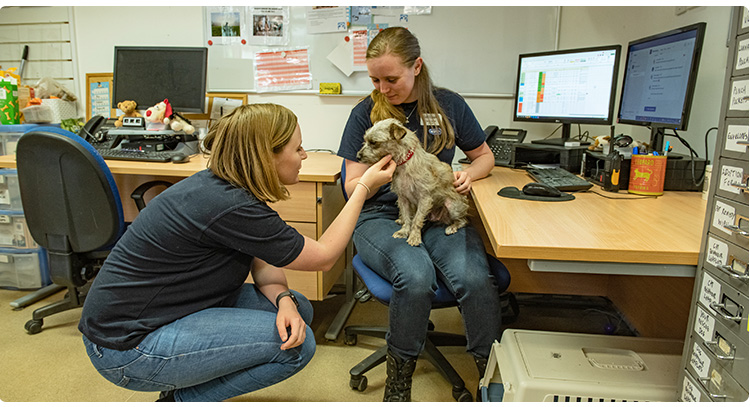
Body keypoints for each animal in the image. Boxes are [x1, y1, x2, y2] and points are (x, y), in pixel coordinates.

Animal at [358, 116, 470, 247]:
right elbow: (407, 217)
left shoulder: (424, 199)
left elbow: (417, 220)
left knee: (463, 220)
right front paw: (404, 231)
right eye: (365, 140)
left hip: (453, 206)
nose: (358, 157)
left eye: (374, 142)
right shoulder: (403, 199)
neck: (403, 164)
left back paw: (452, 227)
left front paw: (414, 236)